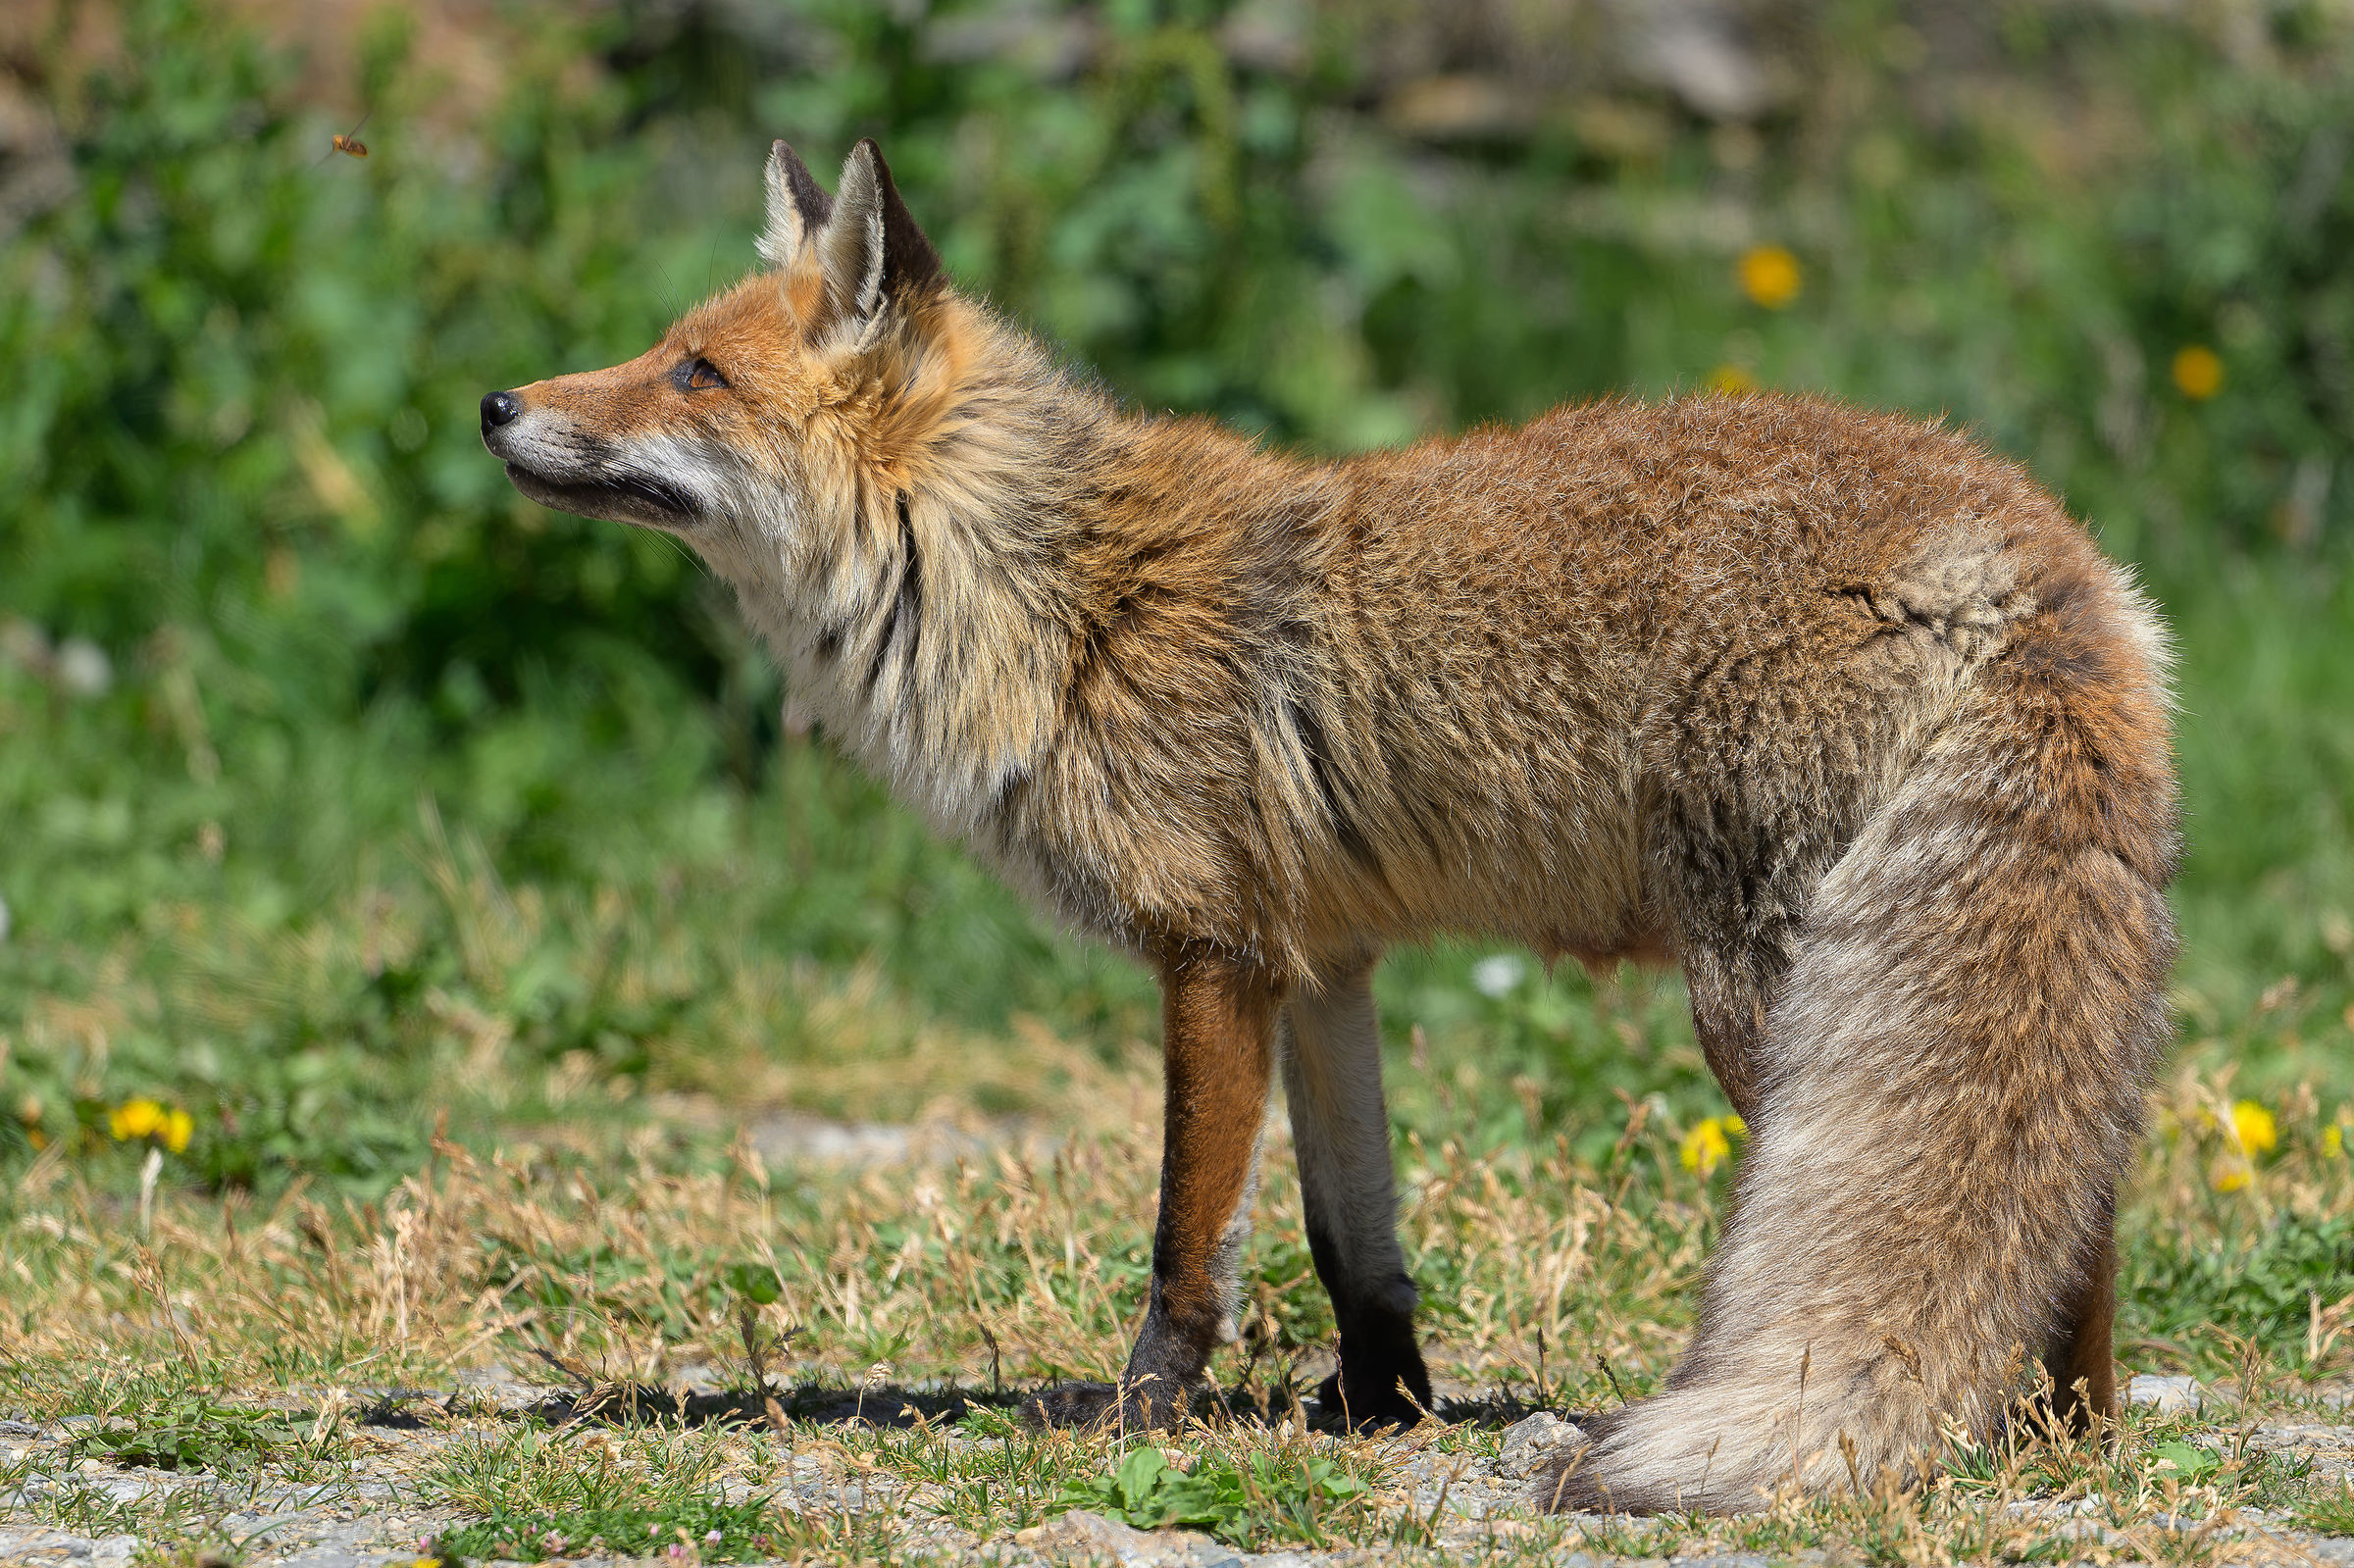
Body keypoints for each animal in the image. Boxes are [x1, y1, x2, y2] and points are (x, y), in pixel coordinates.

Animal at [479, 139, 2179, 1513]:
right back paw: (2065, 1436)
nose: (497, 401)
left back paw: (2003, 1437)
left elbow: (1187, 1240)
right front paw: (1384, 1407)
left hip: (1775, 1001)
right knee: (2078, 1190)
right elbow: (1351, 1239)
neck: (1056, 600)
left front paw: (1138, 1421)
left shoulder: (1214, 952)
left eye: (694, 375)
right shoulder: (1325, 961)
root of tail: (2035, 541)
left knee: (2038, 1211)